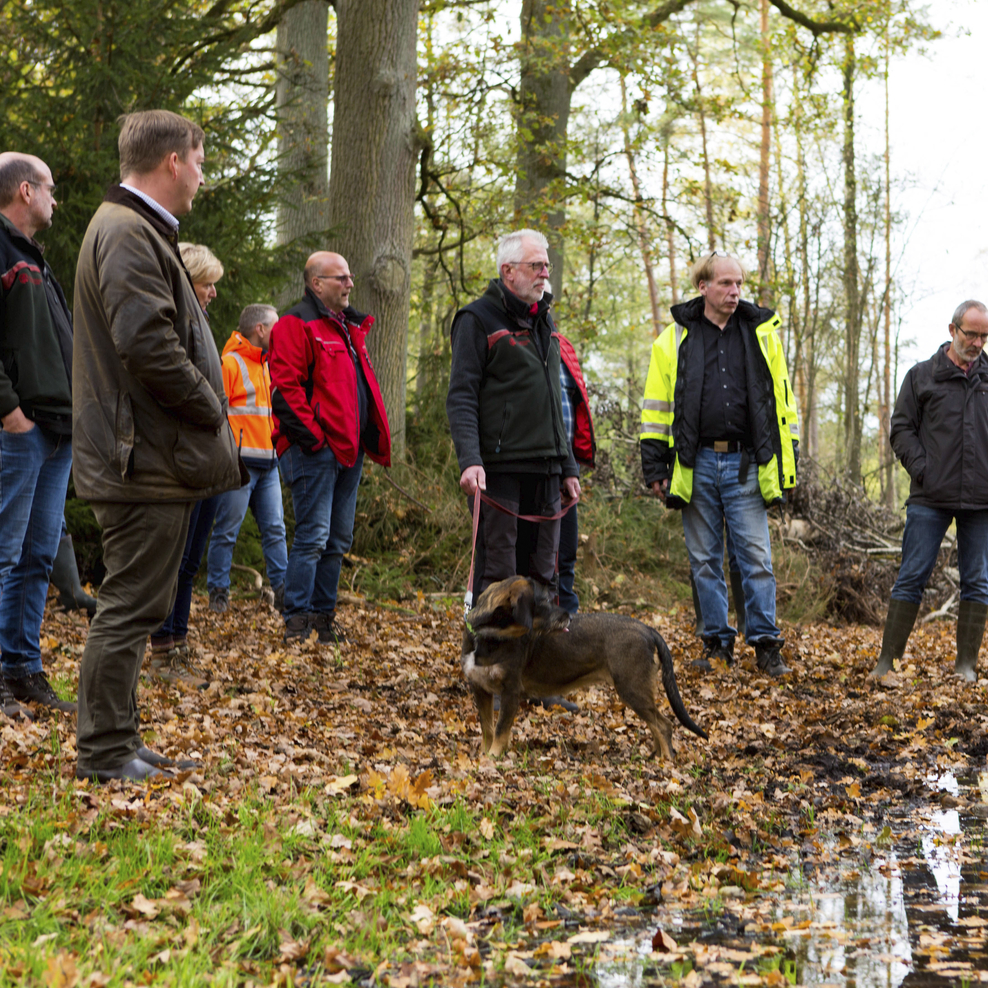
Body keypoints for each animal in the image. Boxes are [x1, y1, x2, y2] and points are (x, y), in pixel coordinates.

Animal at [466, 576, 712, 760]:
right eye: (544, 601)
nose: (569, 617)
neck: (488, 637)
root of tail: (647, 629)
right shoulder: (481, 689)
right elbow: (487, 728)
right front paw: (484, 755)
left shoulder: (511, 691)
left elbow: (500, 729)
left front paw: (493, 758)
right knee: (656, 725)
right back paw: (657, 756)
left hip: (633, 688)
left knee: (664, 725)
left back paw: (666, 761)